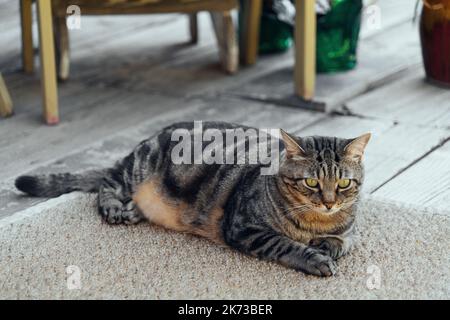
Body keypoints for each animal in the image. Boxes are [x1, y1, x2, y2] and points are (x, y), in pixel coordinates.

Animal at [15, 121, 370, 276]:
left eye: (343, 183)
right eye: (311, 182)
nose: (329, 202)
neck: (315, 221)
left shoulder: (349, 232)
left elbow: (343, 242)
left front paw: (326, 247)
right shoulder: (244, 227)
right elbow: (285, 244)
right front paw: (315, 258)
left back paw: (133, 211)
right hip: (136, 168)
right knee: (107, 181)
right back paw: (116, 207)